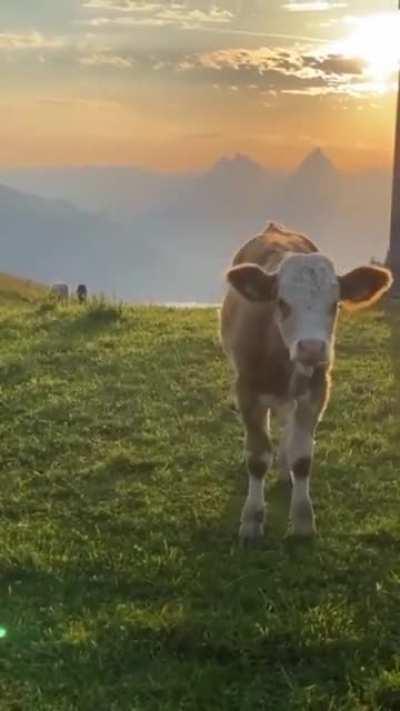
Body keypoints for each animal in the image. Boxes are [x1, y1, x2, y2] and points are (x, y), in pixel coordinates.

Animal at [220, 222, 392, 543]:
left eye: (335, 305)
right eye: (282, 302)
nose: (311, 347)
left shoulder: (316, 392)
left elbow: (303, 458)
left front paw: (302, 521)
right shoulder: (246, 390)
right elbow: (257, 457)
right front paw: (251, 520)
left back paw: (284, 466)